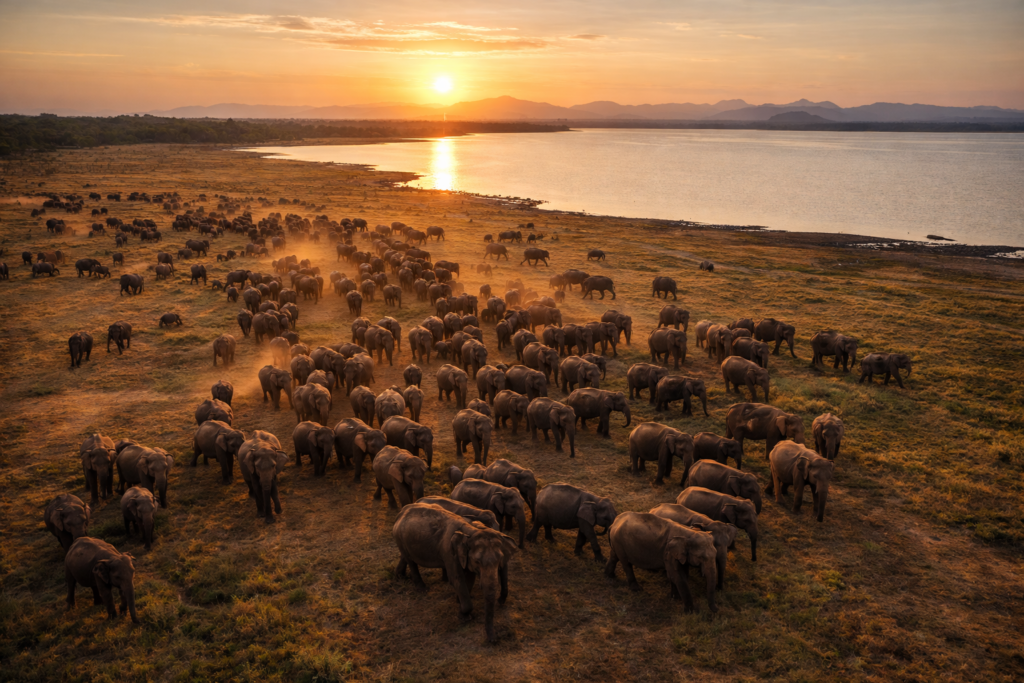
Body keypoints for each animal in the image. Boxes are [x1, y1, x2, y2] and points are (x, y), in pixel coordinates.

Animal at [391, 504, 516, 643]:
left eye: (500, 560)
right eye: (477, 561)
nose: (494, 641)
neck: (470, 530)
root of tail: (402, 511)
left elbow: (469, 578)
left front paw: (458, 602)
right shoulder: (449, 552)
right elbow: (456, 579)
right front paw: (464, 617)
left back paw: (400, 577)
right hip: (400, 538)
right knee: (411, 562)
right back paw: (422, 589)